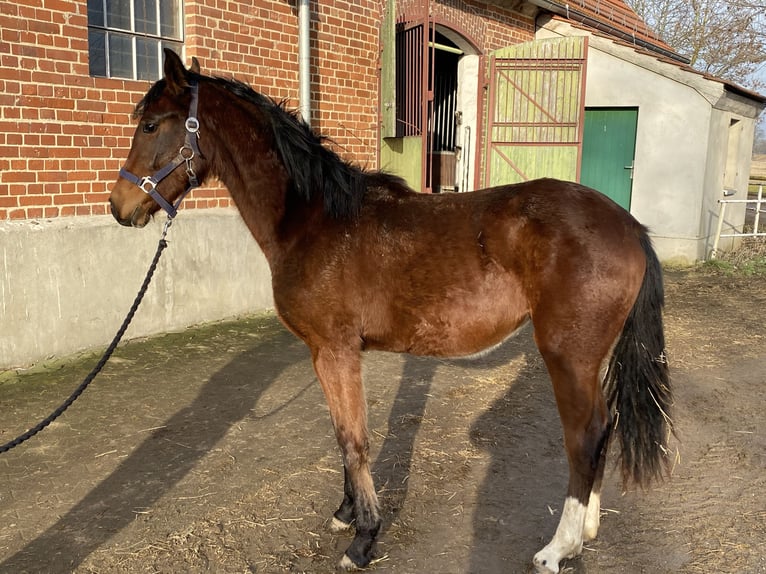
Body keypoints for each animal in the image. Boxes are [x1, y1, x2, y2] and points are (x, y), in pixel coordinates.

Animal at [109, 49, 673, 573]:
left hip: (567, 356)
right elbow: (340, 435)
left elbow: (354, 439)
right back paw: (589, 530)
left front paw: (363, 539)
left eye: (151, 124)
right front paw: (345, 514)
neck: (315, 219)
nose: (120, 207)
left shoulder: (337, 351)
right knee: (605, 427)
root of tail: (630, 227)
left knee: (585, 435)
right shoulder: (324, 354)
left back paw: (559, 547)